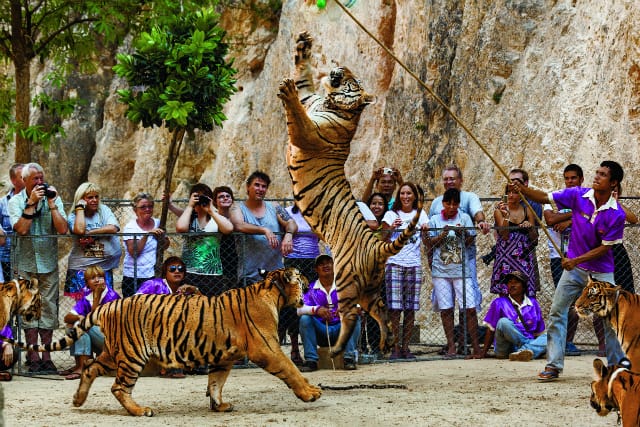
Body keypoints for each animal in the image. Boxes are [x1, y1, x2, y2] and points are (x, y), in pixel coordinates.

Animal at [1, 267, 320, 417]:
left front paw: (219, 406)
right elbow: (291, 369)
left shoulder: (223, 357)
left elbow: (216, 383)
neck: (273, 292)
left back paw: (78, 400)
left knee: (90, 368)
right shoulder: (267, 347)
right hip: (132, 356)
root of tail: (111, 304)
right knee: (118, 387)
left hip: (113, 353)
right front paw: (311, 393)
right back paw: (140, 410)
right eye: (301, 277)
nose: (308, 279)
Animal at [277, 31, 423, 357]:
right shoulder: (310, 97)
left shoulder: (309, 134)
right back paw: (386, 343)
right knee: (381, 311)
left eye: (352, 81)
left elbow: (298, 117)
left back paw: (336, 350)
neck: (331, 101)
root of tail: (377, 246)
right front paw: (303, 45)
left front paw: (286, 91)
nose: (339, 70)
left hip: (345, 281)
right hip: (370, 288)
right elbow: (304, 77)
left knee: (350, 316)